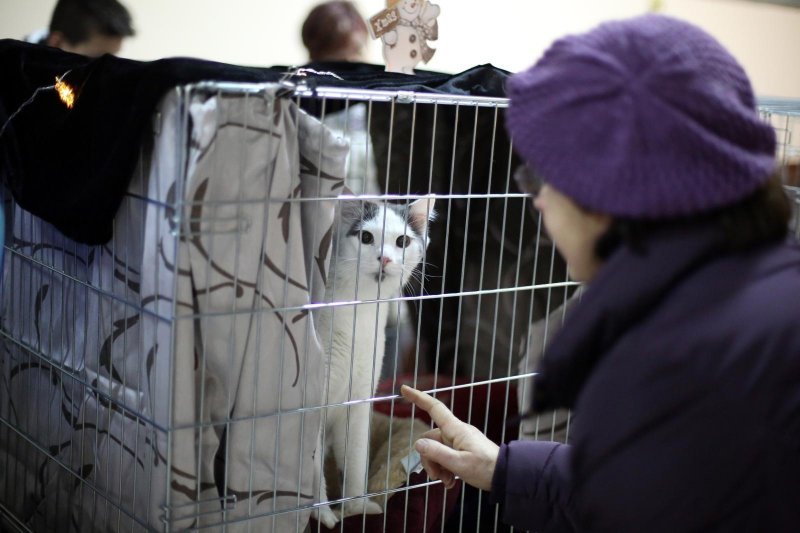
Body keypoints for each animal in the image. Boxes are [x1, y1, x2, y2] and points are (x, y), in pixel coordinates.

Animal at [314, 194, 438, 524]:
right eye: (366, 237)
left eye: (402, 241)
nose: (384, 259)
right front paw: (323, 515)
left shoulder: (358, 400)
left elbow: (356, 461)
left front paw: (357, 509)